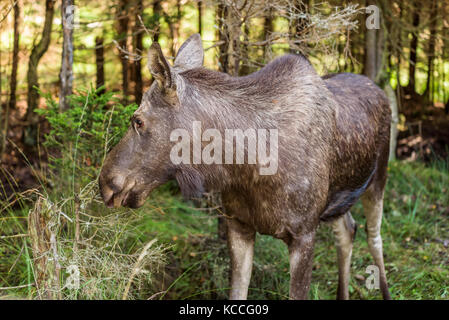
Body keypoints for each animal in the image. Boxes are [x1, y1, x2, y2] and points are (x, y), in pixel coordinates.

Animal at [100, 35, 390, 300]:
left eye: (138, 120)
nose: (104, 182)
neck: (247, 166)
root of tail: (379, 89)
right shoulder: (238, 224)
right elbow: (237, 292)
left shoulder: (304, 234)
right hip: (339, 198)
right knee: (348, 230)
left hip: (377, 179)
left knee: (374, 237)